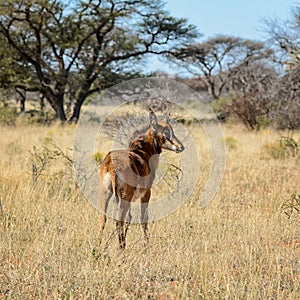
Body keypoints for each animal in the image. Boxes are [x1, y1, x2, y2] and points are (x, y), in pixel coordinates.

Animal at [98, 108, 184, 248]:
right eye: (166, 131)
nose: (181, 147)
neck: (143, 152)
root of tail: (111, 163)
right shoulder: (146, 193)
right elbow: (144, 219)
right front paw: (147, 246)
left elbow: (130, 217)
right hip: (125, 196)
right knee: (118, 220)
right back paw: (121, 247)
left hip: (106, 193)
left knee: (103, 218)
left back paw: (99, 247)